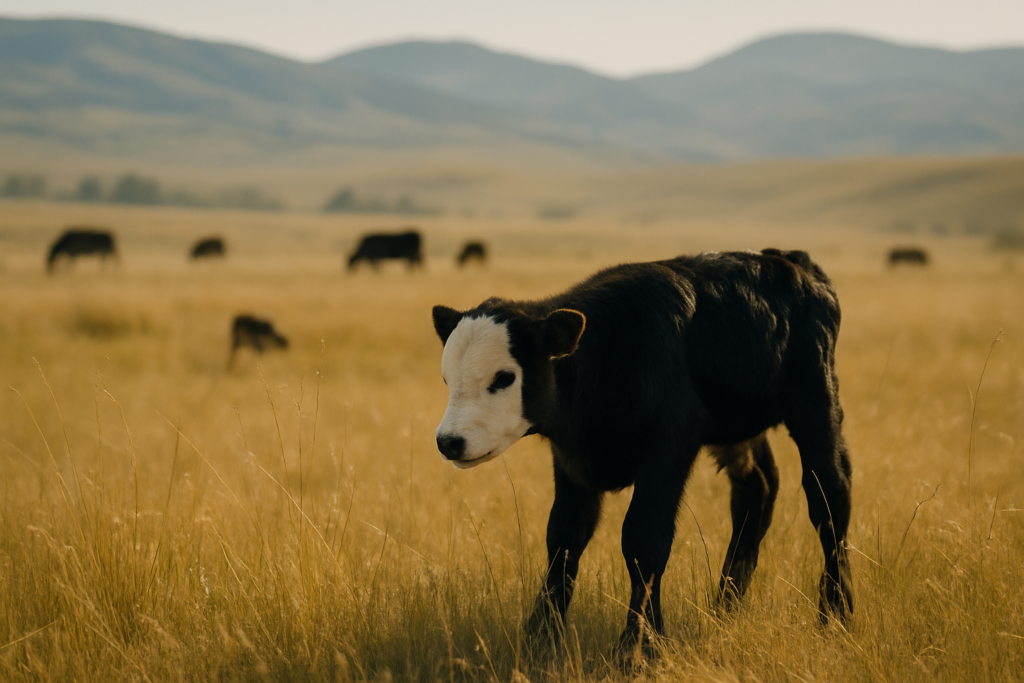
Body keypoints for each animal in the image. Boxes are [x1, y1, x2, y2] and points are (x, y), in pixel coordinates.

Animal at [431, 249, 853, 663]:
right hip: (740, 431)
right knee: (757, 491)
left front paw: (640, 646)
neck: (608, 354)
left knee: (830, 498)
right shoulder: (572, 462)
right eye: (447, 379)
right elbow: (564, 539)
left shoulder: (668, 449)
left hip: (817, 404)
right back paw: (724, 609)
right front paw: (540, 639)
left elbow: (644, 540)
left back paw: (837, 614)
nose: (449, 441)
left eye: (504, 377)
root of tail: (789, 260)